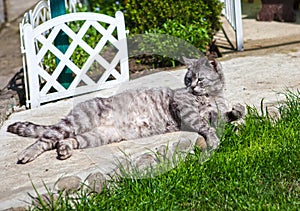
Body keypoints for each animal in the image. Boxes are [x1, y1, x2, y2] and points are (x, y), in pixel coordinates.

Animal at [7, 55, 246, 163]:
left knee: (65, 141)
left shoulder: (215, 112)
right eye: (189, 78)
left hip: (97, 136)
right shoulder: (185, 108)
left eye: (199, 79)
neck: (211, 96)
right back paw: (26, 155)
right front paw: (213, 141)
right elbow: (205, 125)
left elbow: (227, 115)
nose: (192, 86)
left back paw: (64, 150)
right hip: (76, 123)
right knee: (45, 138)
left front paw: (237, 110)